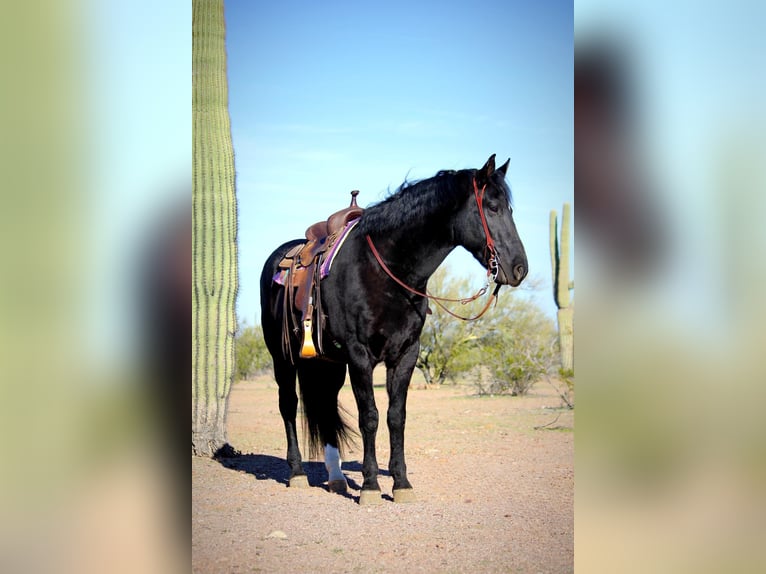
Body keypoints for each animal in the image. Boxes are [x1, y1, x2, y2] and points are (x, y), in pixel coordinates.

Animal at [259, 154, 528, 504]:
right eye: (492, 207)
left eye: (509, 209)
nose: (520, 268)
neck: (385, 268)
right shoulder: (360, 355)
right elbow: (370, 417)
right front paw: (371, 485)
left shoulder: (406, 353)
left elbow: (396, 417)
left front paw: (401, 483)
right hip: (283, 358)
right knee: (288, 406)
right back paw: (297, 473)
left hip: (329, 363)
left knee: (328, 407)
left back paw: (336, 478)